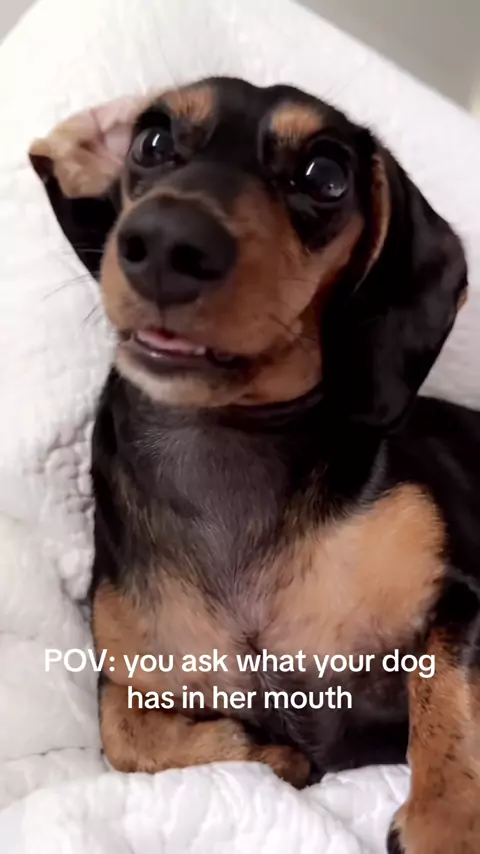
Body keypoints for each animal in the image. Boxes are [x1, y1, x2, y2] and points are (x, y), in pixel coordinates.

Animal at [29, 77, 480, 853]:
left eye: (325, 176)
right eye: (152, 140)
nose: (166, 241)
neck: (227, 456)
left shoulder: (467, 596)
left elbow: (445, 693)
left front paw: (448, 822)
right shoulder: (125, 681)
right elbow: (127, 738)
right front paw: (278, 754)